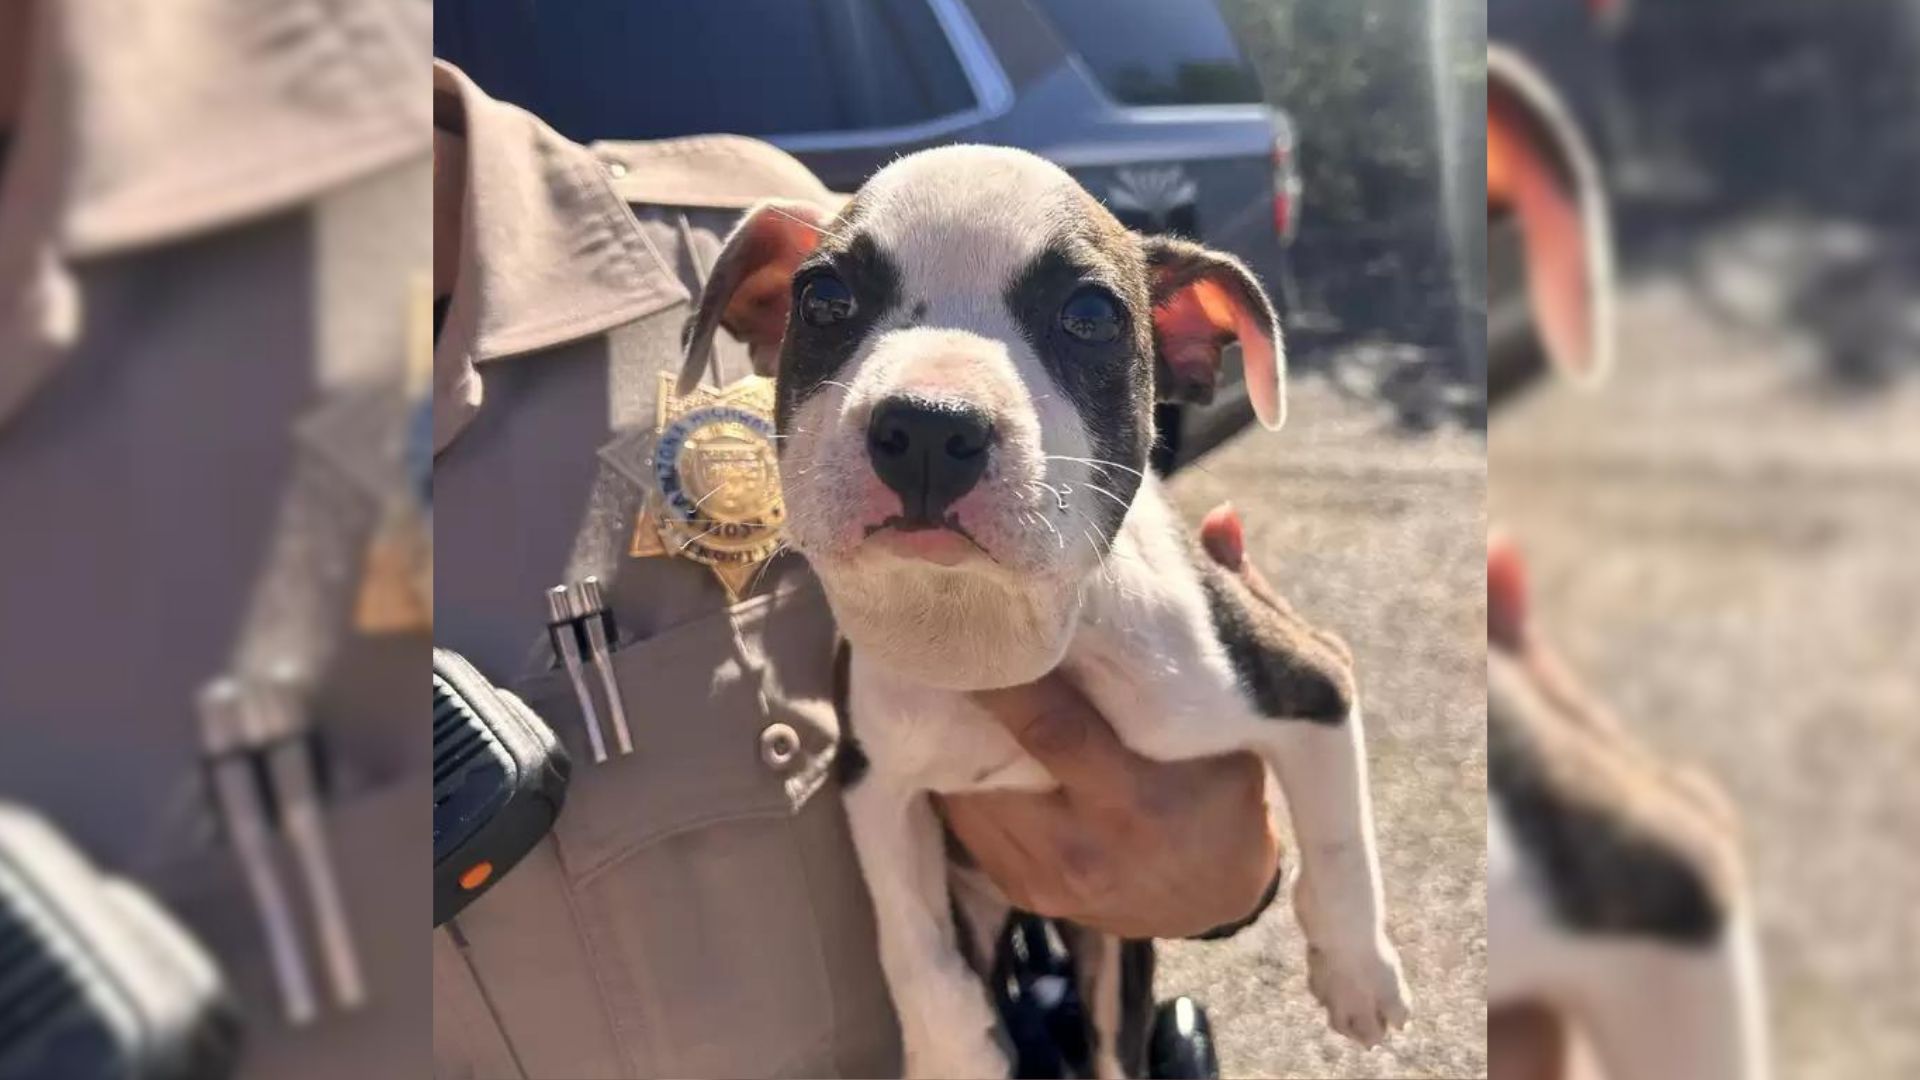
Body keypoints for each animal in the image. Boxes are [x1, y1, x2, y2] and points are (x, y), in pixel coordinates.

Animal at [687, 145, 1413, 1076]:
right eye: (824, 300)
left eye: (1091, 313)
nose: (929, 425)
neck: (983, 628)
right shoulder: (873, 779)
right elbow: (910, 940)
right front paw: (951, 1046)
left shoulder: (1303, 674)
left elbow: (1337, 833)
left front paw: (1359, 973)